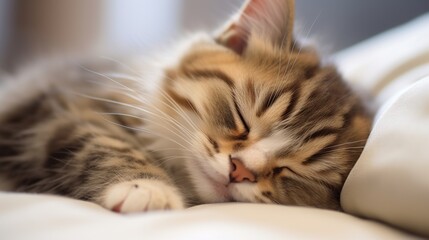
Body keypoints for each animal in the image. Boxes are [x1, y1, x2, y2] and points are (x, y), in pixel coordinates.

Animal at [0, 0, 372, 214]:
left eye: (294, 171)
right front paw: (146, 189)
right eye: (240, 116)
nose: (240, 170)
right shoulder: (62, 104)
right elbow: (107, 143)